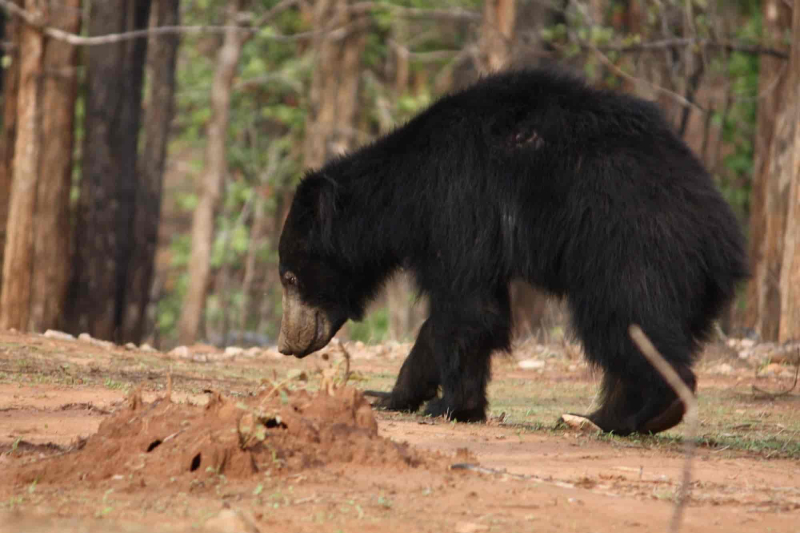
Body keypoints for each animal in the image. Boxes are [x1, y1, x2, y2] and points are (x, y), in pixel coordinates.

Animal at [276, 66, 749, 436]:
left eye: (290, 277)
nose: (286, 344)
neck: (406, 191)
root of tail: (724, 241)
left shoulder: (458, 202)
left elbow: (467, 309)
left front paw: (451, 406)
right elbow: (449, 318)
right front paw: (389, 395)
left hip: (630, 246)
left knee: (623, 322)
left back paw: (641, 411)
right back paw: (599, 415)